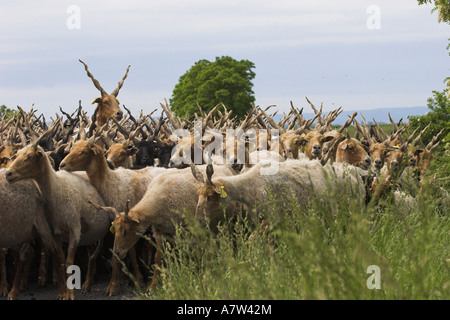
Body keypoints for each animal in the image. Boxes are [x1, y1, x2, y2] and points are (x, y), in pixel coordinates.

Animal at [4, 138, 112, 300]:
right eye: (16, 155)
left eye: (30, 156)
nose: (8, 174)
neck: (57, 188)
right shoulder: (55, 233)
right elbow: (60, 261)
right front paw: (63, 293)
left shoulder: (74, 230)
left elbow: (69, 262)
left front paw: (70, 294)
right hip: (87, 232)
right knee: (91, 253)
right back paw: (88, 284)